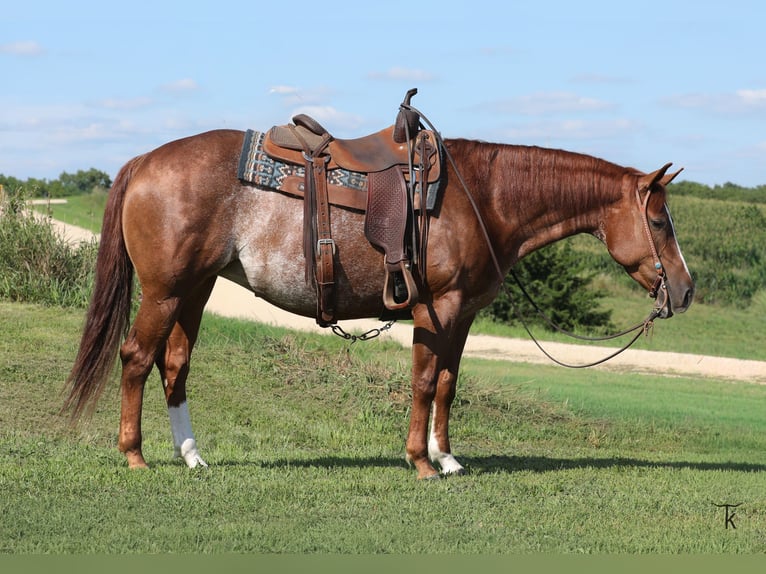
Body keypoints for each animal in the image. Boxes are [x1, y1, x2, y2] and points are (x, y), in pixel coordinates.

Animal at [63, 127, 694, 479]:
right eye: (660, 221)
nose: (685, 291)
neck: (481, 198)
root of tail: (143, 162)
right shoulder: (436, 308)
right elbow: (423, 381)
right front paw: (419, 462)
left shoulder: (463, 314)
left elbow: (448, 384)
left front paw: (448, 458)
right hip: (165, 291)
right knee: (135, 358)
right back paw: (135, 455)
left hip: (195, 289)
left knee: (174, 365)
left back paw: (192, 456)